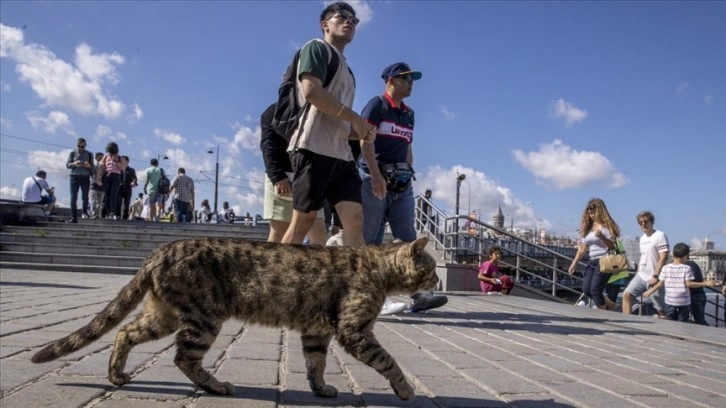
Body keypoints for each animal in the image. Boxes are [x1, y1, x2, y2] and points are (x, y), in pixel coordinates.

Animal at [32, 237, 438, 400]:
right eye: (432, 267)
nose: (437, 280)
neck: (378, 267)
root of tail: (161, 250)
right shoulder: (353, 330)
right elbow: (388, 361)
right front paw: (405, 390)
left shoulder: (316, 331)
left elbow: (316, 365)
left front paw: (321, 389)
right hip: (204, 317)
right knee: (183, 357)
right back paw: (216, 385)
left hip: (163, 315)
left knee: (126, 332)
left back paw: (117, 375)